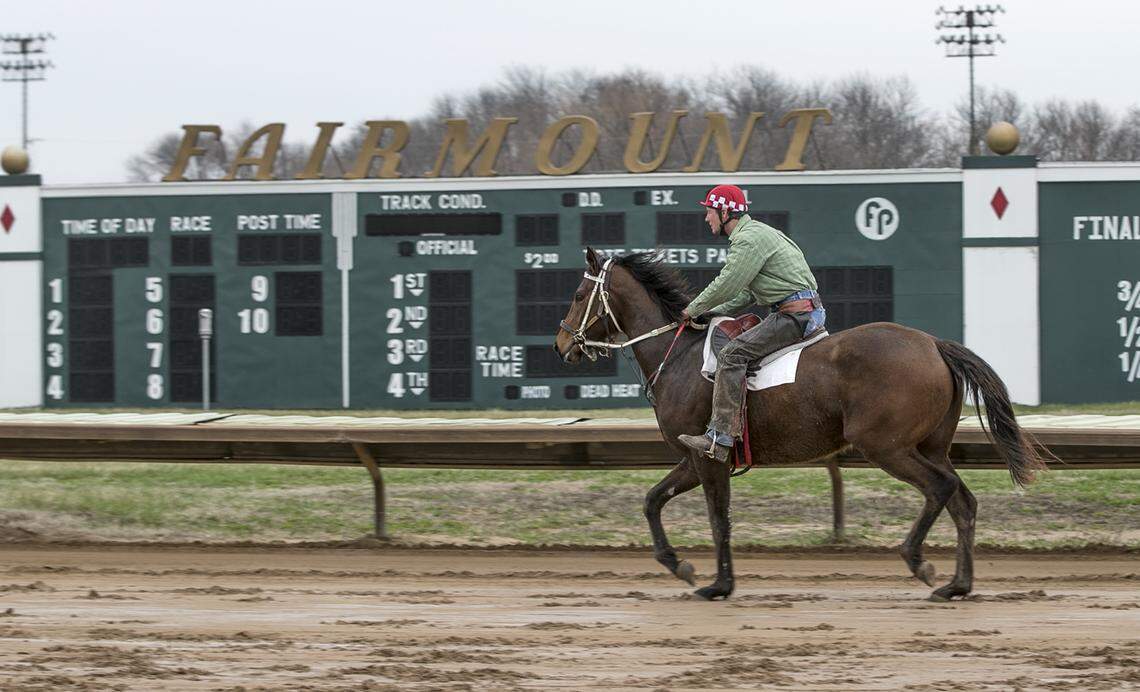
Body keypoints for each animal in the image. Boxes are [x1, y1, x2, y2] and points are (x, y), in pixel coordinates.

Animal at [553, 248, 1054, 602]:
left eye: (578, 295)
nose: (561, 344)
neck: (677, 356)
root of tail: (933, 343)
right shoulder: (694, 458)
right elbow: (652, 501)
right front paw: (680, 565)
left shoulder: (709, 457)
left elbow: (718, 519)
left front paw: (718, 584)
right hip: (930, 446)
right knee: (963, 502)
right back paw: (957, 584)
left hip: (886, 447)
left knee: (940, 489)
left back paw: (918, 561)